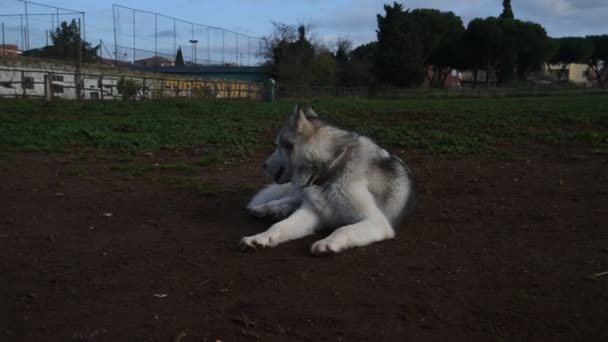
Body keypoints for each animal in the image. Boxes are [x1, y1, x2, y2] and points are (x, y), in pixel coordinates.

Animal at [240, 105, 416, 255]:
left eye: (277, 146)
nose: (263, 165)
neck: (332, 173)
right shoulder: (312, 213)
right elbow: (279, 226)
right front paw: (259, 238)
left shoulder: (377, 221)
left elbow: (343, 229)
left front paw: (327, 242)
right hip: (300, 194)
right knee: (291, 198)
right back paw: (267, 208)